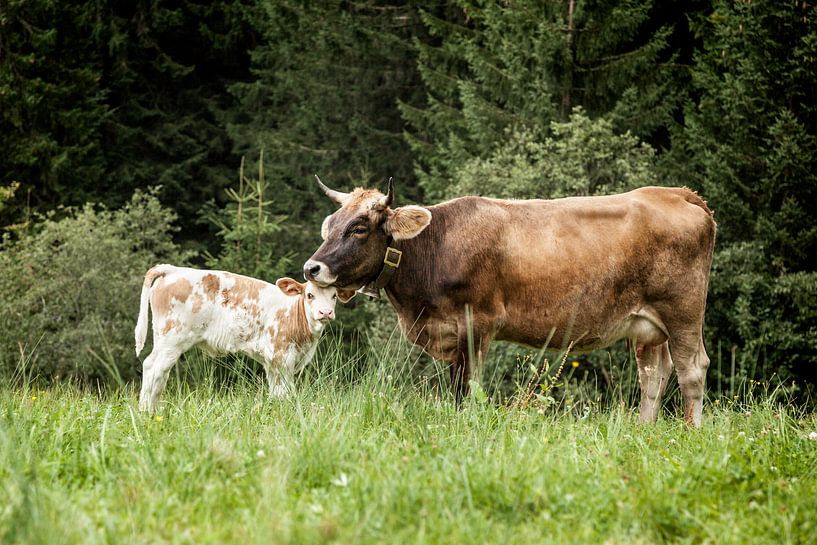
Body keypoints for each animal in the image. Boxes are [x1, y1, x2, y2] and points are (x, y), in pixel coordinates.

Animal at [132, 264, 352, 412]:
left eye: (334, 296)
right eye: (309, 295)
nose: (325, 312)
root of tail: (172, 269)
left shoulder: (272, 363)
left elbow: (276, 391)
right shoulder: (281, 357)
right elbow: (285, 391)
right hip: (172, 339)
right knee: (154, 368)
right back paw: (147, 412)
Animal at [304, 180, 712, 424]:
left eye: (359, 227)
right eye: (330, 224)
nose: (311, 267)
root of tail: (675, 192)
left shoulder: (476, 324)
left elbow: (466, 387)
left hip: (683, 313)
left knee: (692, 370)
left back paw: (690, 432)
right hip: (648, 326)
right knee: (654, 375)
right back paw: (644, 429)